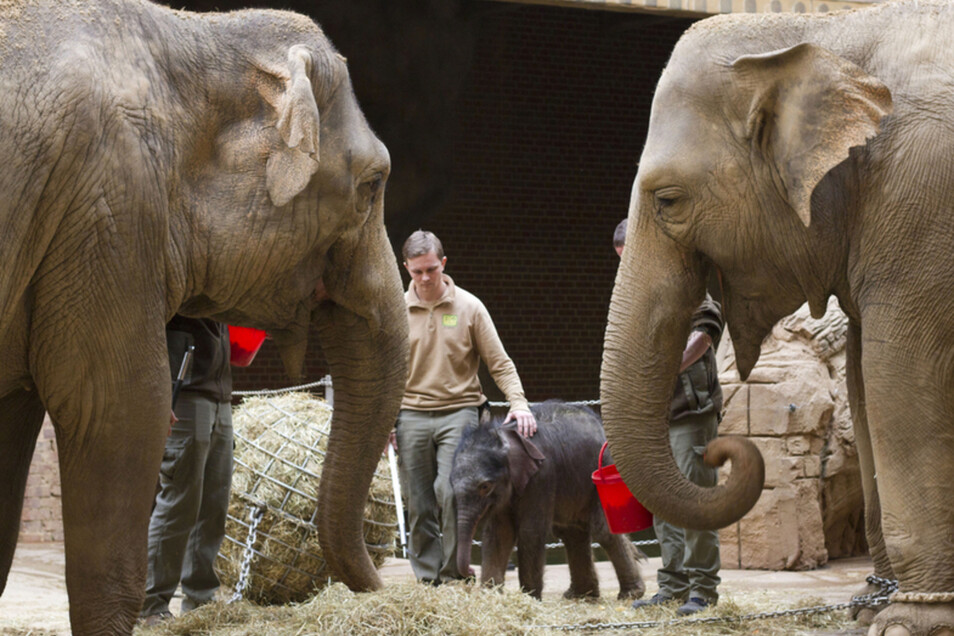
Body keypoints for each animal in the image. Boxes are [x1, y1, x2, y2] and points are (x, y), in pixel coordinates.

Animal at [450, 400, 644, 600]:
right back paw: (580, 596)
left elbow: (530, 531)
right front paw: (490, 596)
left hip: (603, 467)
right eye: (451, 483)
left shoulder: (542, 476)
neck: (506, 435)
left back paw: (630, 595)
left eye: (485, 486)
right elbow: (499, 532)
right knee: (571, 532)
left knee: (603, 530)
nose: (471, 572)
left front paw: (529, 598)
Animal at [604, 2, 952, 632]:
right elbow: (864, 387)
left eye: (668, 200)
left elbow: (902, 381)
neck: (824, 31)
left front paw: (907, 622)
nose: (720, 449)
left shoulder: (924, 201)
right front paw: (870, 612)